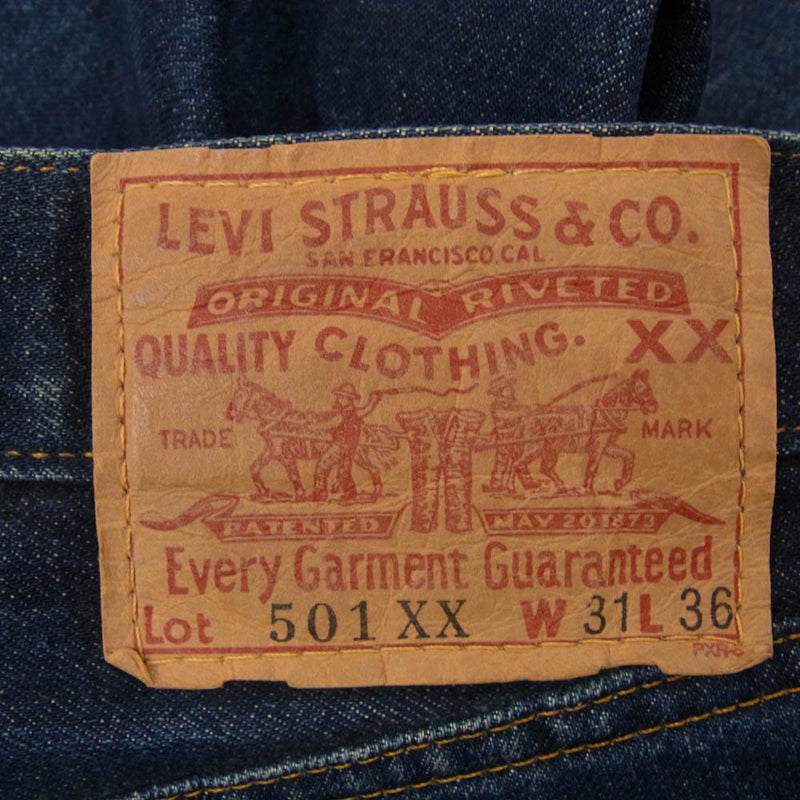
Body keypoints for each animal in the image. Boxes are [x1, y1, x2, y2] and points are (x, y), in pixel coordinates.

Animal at [226, 377, 398, 502]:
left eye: (240, 394)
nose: (231, 414)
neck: (276, 419)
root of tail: (365, 425)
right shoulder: (272, 451)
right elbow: (254, 467)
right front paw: (263, 491)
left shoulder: (284, 453)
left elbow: (293, 473)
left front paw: (300, 495)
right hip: (356, 455)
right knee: (367, 470)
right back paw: (357, 494)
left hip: (356, 454)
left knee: (367, 469)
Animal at [507, 369, 658, 495]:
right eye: (645, 390)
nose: (655, 407)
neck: (606, 413)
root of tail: (524, 421)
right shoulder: (597, 449)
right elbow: (592, 467)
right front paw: (587, 489)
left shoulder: (608, 447)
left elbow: (629, 455)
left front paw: (619, 483)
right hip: (534, 449)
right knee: (516, 464)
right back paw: (511, 488)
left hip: (549, 451)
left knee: (544, 468)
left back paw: (561, 487)